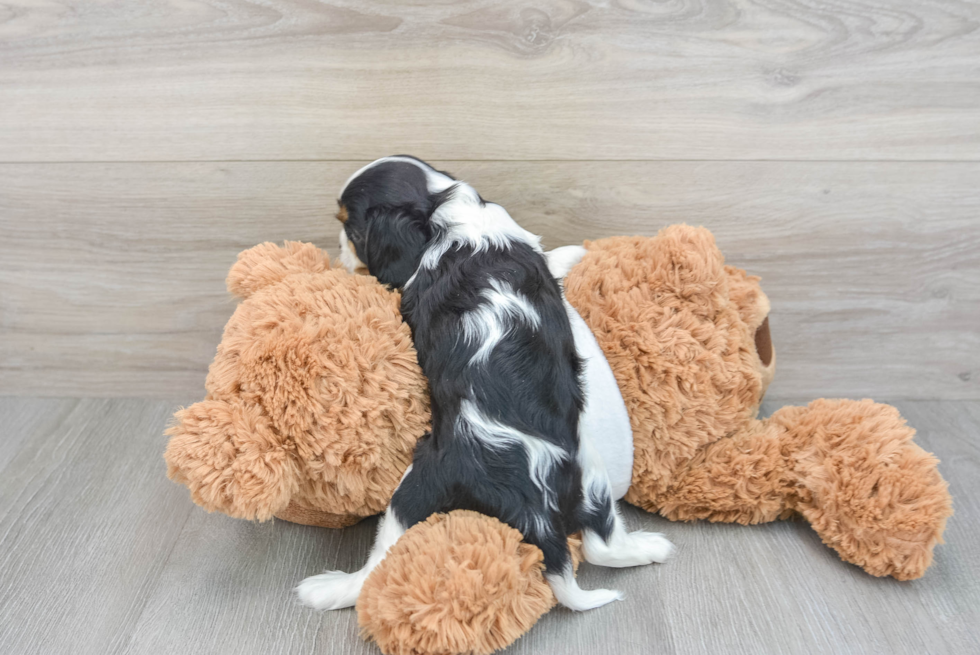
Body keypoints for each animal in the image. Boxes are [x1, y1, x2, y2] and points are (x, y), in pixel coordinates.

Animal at [294, 156, 668, 612]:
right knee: (601, 544)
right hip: (581, 471)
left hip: (428, 488)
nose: (338, 251)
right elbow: (548, 256)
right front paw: (575, 252)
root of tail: (529, 506)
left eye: (352, 231)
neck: (444, 213)